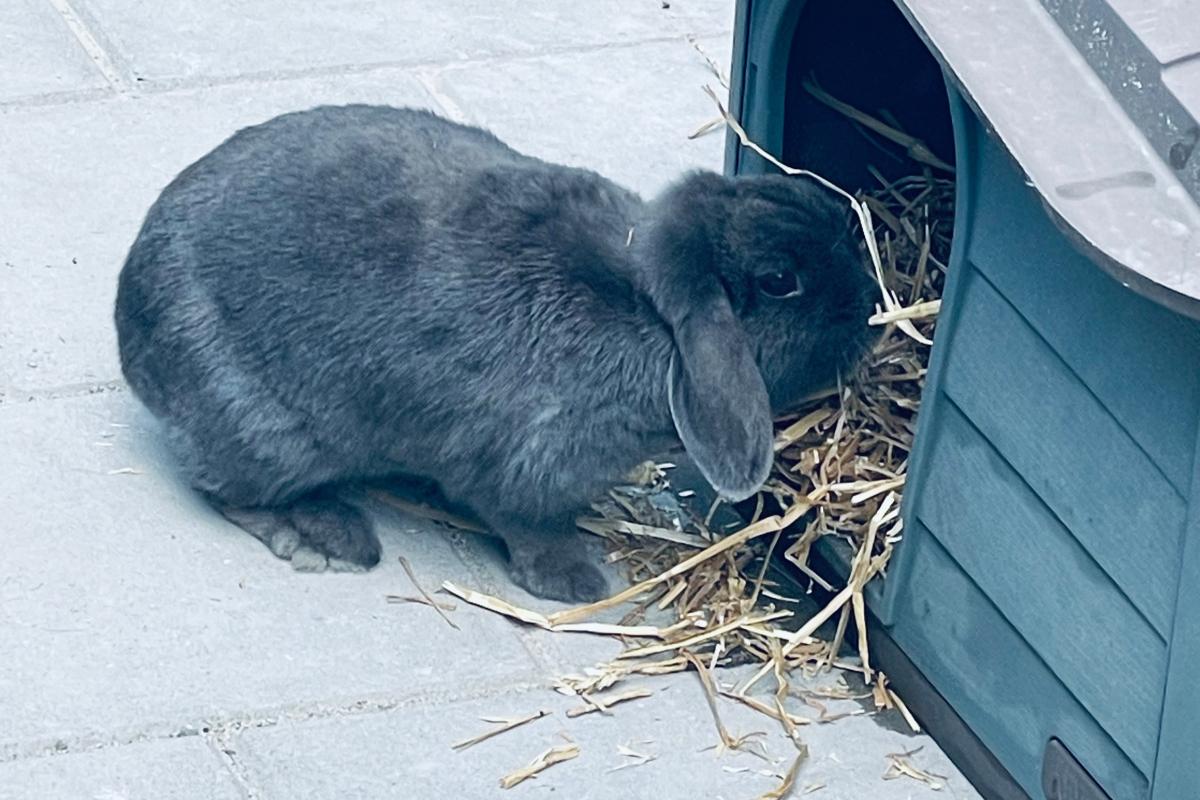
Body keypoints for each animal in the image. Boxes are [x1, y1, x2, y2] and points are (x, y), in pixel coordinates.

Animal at [114, 104, 877, 603]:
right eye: (780, 281)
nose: (868, 304)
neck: (646, 310)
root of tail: (130, 325)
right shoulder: (523, 464)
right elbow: (527, 522)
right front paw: (573, 581)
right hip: (263, 431)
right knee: (229, 490)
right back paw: (330, 539)